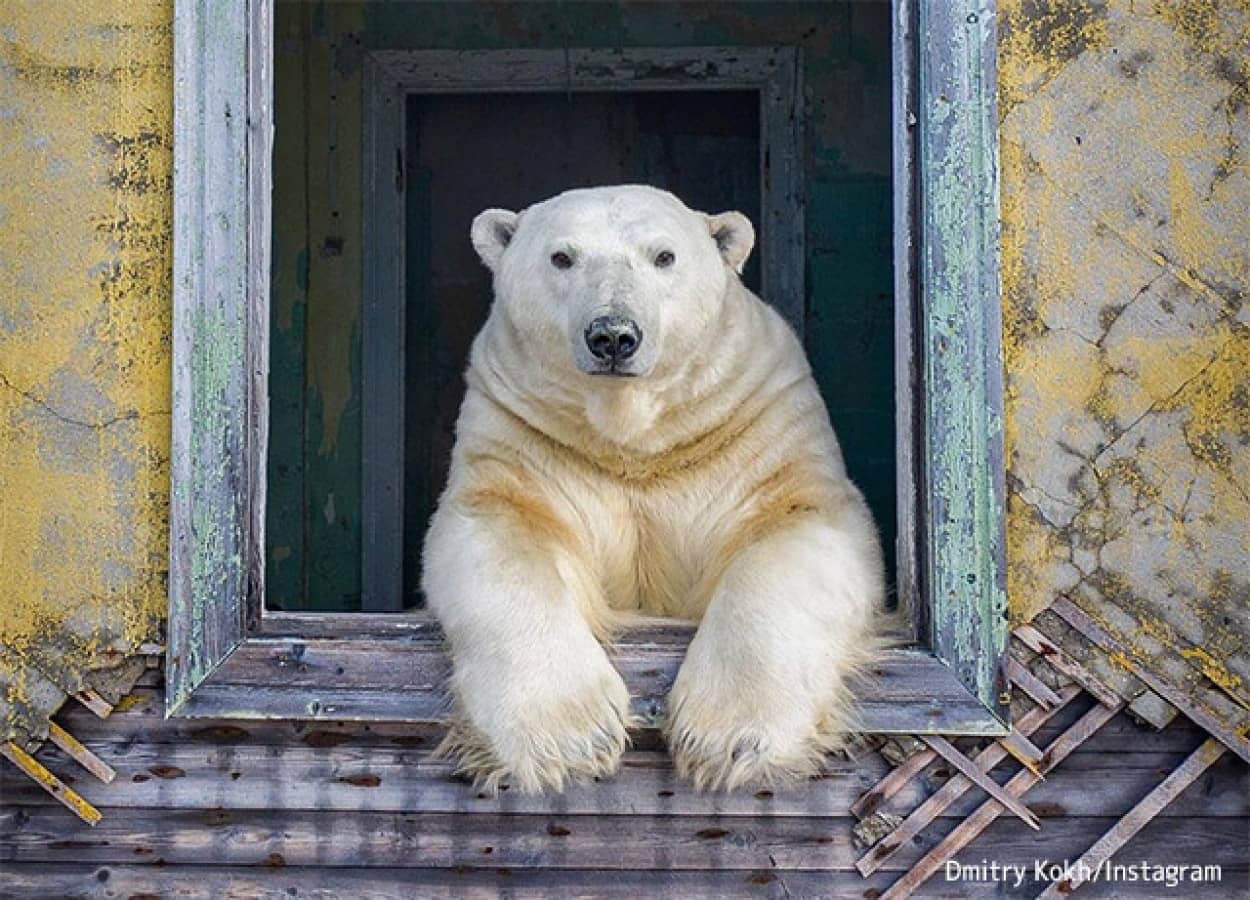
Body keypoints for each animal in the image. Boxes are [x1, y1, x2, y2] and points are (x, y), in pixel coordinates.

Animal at [425, 185, 885, 795]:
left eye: (664, 256)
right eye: (561, 257)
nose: (613, 336)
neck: (635, 441)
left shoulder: (756, 425)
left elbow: (797, 526)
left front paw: (729, 738)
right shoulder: (523, 436)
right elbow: (499, 532)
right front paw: (569, 739)